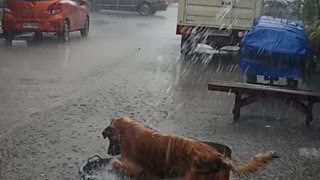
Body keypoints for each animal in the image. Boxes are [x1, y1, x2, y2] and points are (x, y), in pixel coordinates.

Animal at [102, 117, 278, 179]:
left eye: (109, 138)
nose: (108, 152)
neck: (127, 131)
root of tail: (220, 158)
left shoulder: (134, 166)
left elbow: (116, 164)